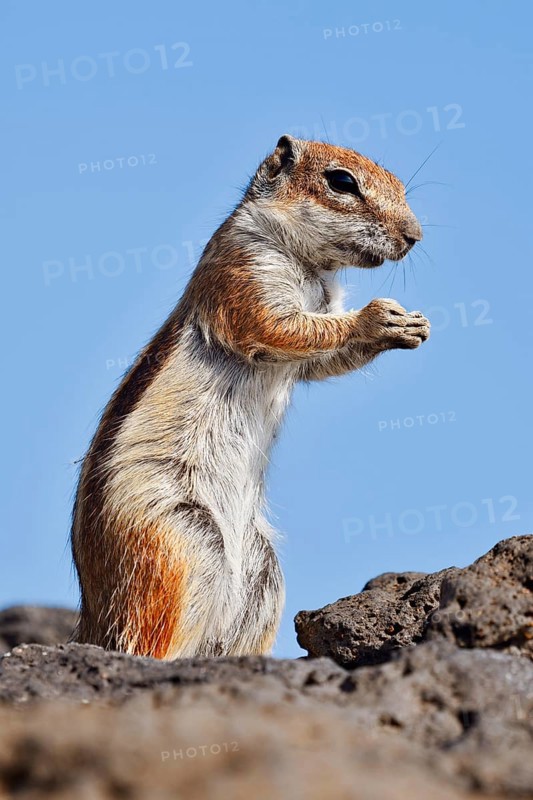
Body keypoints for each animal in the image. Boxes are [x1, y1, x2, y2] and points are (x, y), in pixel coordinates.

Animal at [71, 135, 430, 660]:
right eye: (342, 181)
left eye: (402, 185)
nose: (414, 236)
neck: (312, 268)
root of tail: (92, 613)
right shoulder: (245, 275)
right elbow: (279, 327)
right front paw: (376, 318)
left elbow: (319, 360)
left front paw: (410, 327)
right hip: (179, 542)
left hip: (263, 574)